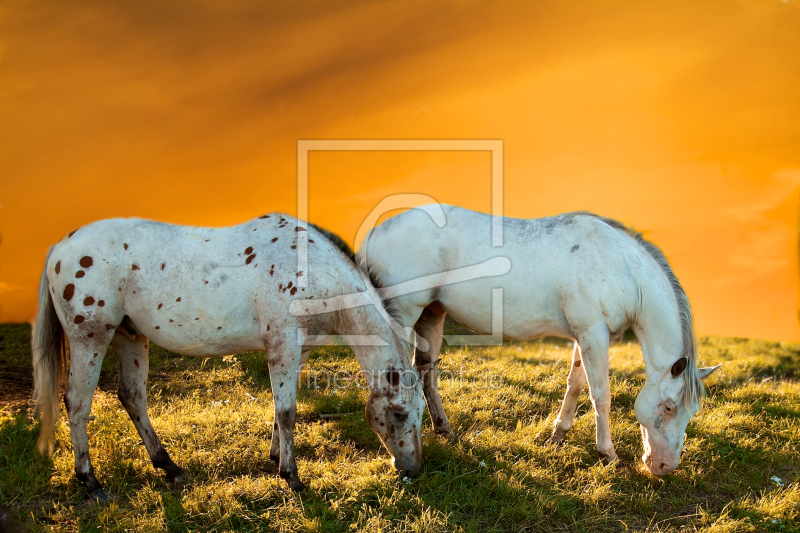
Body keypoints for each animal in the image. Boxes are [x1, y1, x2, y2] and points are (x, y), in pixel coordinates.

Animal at [31, 214, 424, 496]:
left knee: (132, 397)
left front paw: (276, 457)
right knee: (77, 402)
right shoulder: (283, 344)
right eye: (399, 413)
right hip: (90, 339)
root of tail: (59, 247)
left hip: (129, 337)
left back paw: (168, 465)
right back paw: (90, 481)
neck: (312, 268)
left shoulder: (298, 351)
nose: (412, 469)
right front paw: (292, 477)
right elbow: (287, 412)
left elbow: (280, 409)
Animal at [360, 204, 720, 474]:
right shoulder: (594, 333)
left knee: (427, 372)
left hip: (432, 314)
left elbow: (575, 384)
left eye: (691, 411)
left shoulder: (585, 335)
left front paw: (558, 435)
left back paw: (444, 429)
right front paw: (608, 454)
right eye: (670, 407)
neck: (620, 266)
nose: (664, 466)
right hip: (406, 314)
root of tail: (377, 230)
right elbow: (600, 395)